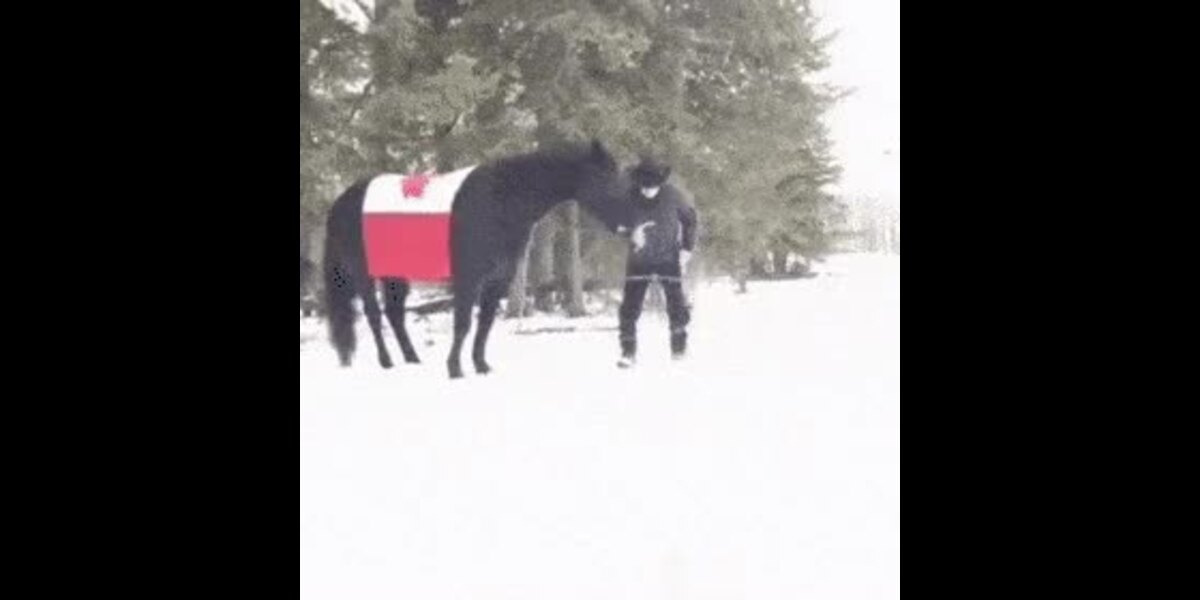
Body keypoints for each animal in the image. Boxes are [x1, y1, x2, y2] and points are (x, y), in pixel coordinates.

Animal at [322, 139, 632, 379]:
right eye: (605, 178)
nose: (627, 224)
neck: (499, 199)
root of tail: (342, 200)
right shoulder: (469, 278)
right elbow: (463, 323)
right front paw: (454, 369)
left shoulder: (499, 279)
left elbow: (485, 323)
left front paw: (480, 365)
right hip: (364, 272)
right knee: (374, 315)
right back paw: (386, 362)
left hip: (394, 274)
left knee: (395, 315)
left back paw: (412, 360)